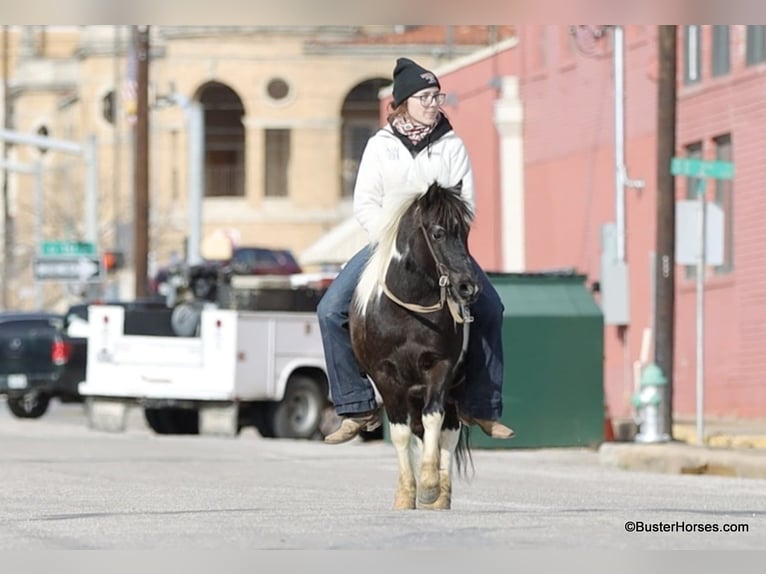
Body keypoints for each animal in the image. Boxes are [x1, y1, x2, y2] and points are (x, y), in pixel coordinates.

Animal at [349, 181, 479, 510]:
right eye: (438, 233)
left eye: (465, 231)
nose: (468, 287)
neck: (409, 311)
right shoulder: (385, 376)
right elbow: (400, 433)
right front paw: (406, 493)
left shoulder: (440, 368)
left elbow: (434, 420)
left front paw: (430, 486)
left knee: (447, 433)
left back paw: (441, 496)